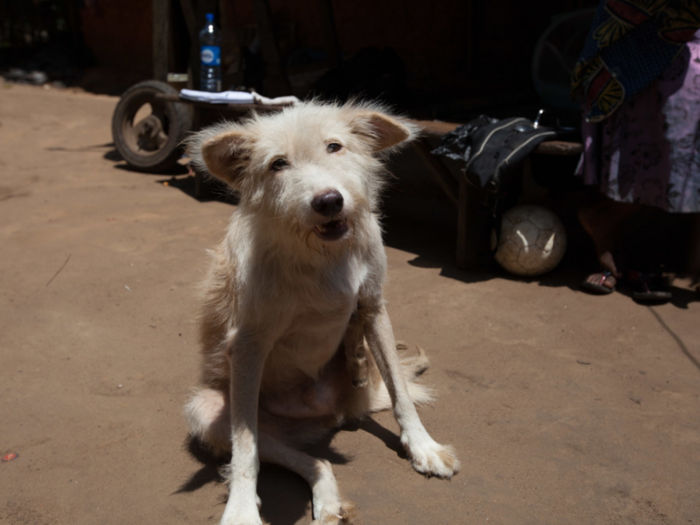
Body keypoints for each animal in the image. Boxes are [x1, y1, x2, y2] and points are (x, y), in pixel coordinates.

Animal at [183, 100, 462, 520]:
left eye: (334, 147)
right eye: (278, 164)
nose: (329, 201)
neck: (323, 256)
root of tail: (331, 412)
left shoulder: (374, 308)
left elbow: (400, 391)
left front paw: (422, 446)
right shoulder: (248, 344)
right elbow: (246, 450)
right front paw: (242, 510)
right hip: (211, 410)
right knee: (306, 458)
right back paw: (326, 501)